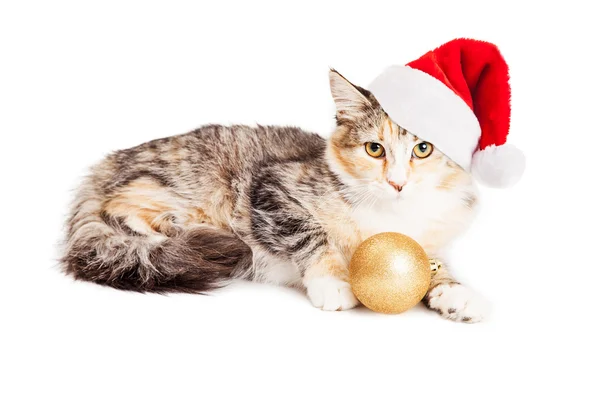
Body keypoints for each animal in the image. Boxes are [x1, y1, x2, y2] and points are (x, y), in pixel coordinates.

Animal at [63, 69, 490, 322]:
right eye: (374, 149)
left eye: (423, 149)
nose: (397, 183)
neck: (390, 217)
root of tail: (108, 162)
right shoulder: (274, 187)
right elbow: (312, 236)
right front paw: (333, 281)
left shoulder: (430, 242)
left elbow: (432, 265)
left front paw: (455, 291)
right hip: (181, 183)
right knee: (120, 209)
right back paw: (174, 228)